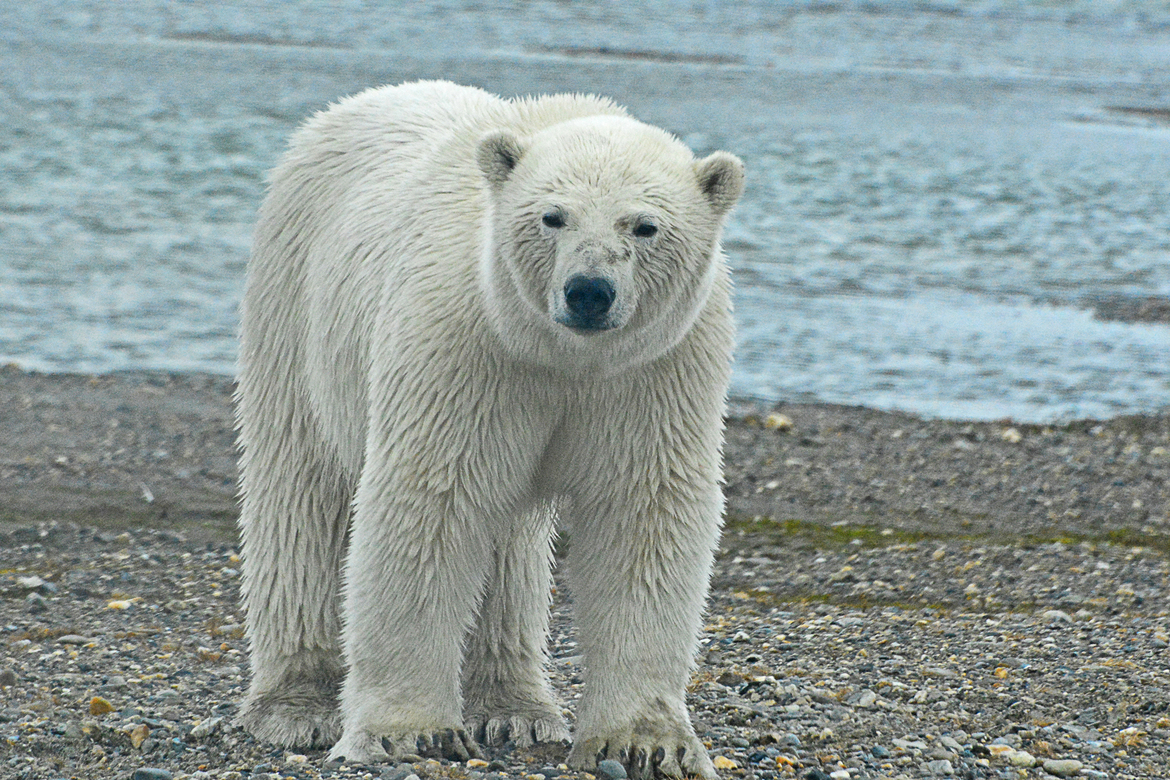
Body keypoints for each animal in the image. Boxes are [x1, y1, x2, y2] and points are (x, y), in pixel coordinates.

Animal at [234, 80, 744, 779]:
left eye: (644, 225)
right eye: (553, 216)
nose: (589, 291)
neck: (563, 355)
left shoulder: (654, 373)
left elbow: (642, 515)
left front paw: (644, 742)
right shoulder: (465, 346)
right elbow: (431, 502)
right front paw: (410, 733)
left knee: (510, 543)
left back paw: (515, 709)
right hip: (294, 305)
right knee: (298, 491)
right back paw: (294, 707)